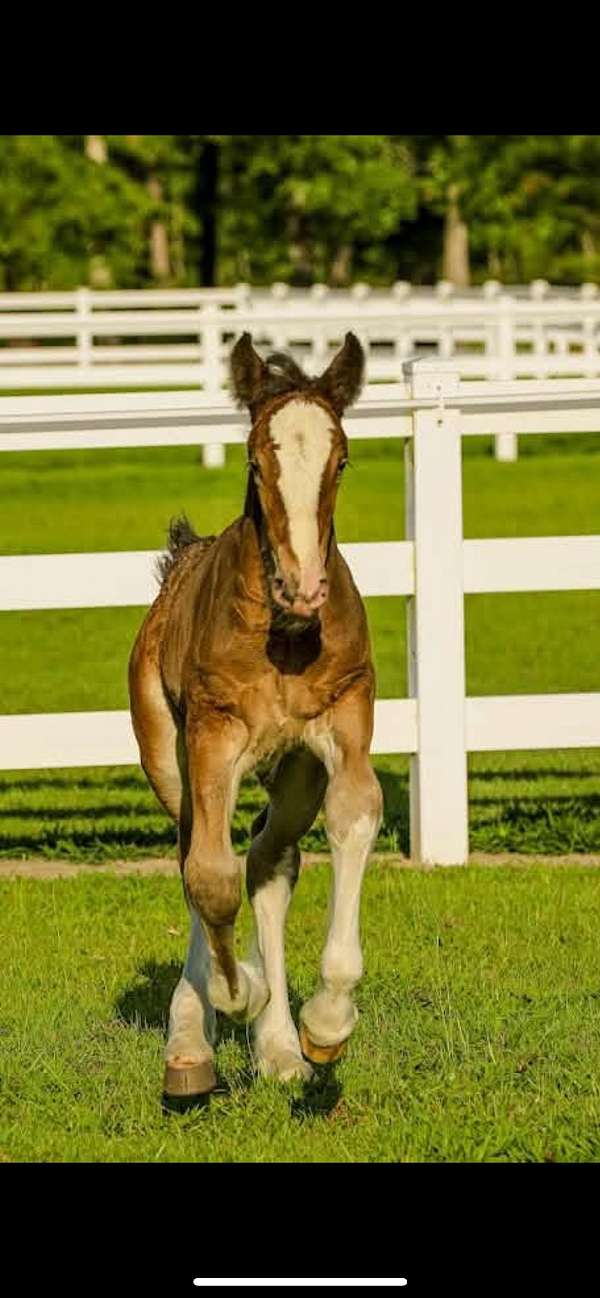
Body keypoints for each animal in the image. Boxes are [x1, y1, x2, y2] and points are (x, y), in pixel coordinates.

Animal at [128, 330, 383, 1098]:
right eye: (253, 460)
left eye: (341, 460)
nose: (303, 587)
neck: (286, 634)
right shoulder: (214, 736)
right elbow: (209, 878)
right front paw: (235, 993)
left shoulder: (344, 724)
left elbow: (354, 817)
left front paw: (324, 1027)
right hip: (169, 759)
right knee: (195, 854)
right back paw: (195, 1039)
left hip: (294, 774)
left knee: (271, 864)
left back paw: (278, 1047)